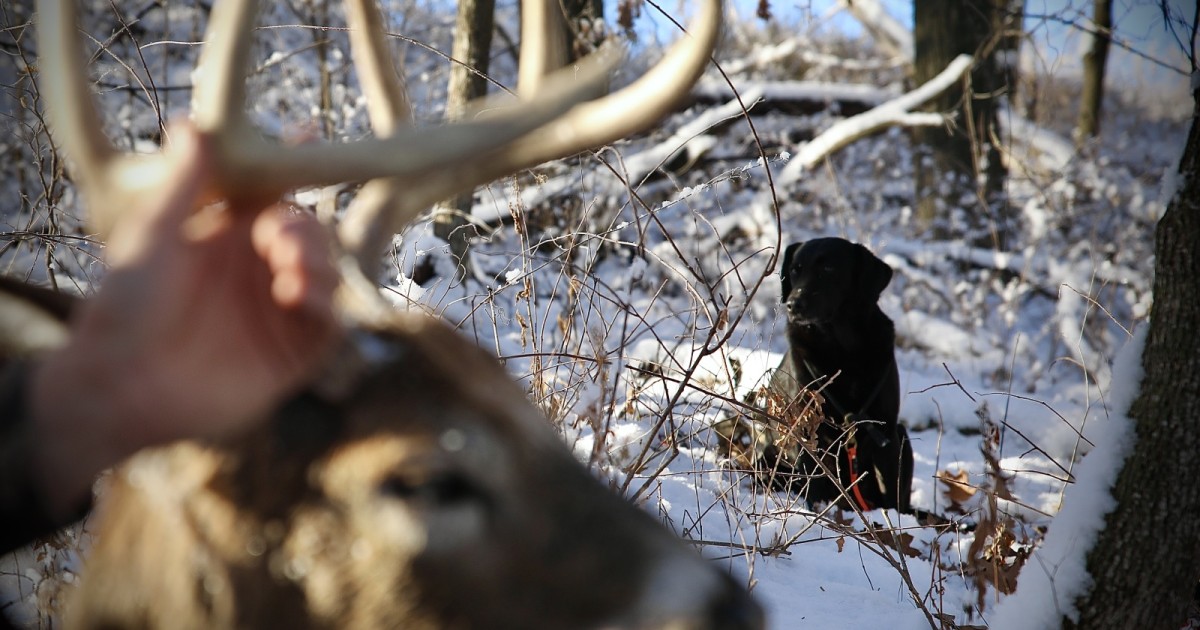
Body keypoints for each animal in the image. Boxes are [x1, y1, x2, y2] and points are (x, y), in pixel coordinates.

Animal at [763, 238, 912, 513]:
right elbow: (815, 486)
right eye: (795, 270)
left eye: (828, 269)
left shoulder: (885, 432)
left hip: (902, 436)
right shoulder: (808, 430)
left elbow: (892, 494)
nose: (793, 304)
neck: (842, 346)